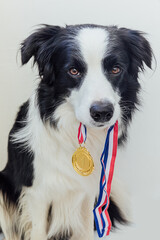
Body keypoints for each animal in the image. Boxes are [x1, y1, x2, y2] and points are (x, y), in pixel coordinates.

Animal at [0, 23, 152, 240]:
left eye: (116, 69)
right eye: (73, 71)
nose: (102, 112)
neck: (75, 133)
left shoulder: (88, 189)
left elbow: (87, 227)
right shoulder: (37, 192)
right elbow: (37, 230)